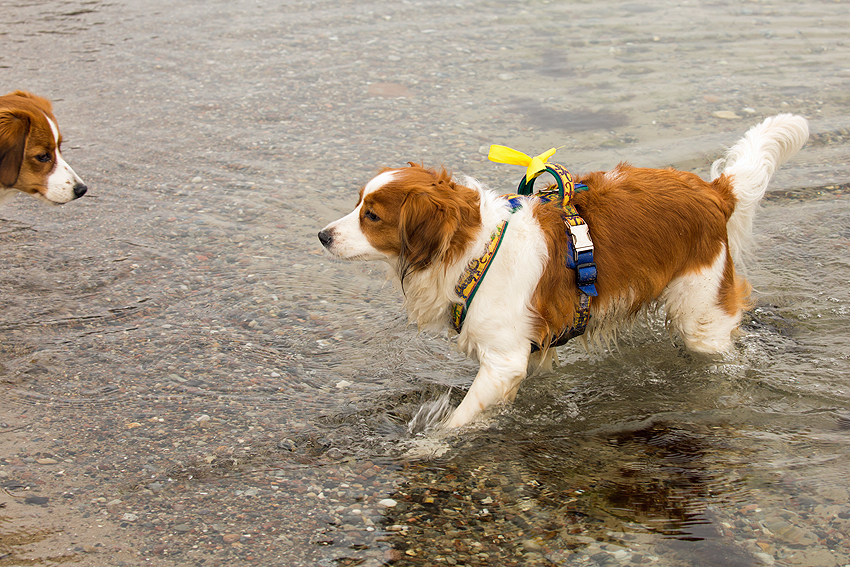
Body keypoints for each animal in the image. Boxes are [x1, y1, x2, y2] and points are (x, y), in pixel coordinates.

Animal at [318, 114, 808, 430]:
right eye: (358, 204)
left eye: (372, 216)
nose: (322, 235)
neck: (473, 251)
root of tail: (713, 190)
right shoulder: (532, 351)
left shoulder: (504, 360)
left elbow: (458, 420)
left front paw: (429, 445)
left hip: (702, 316)